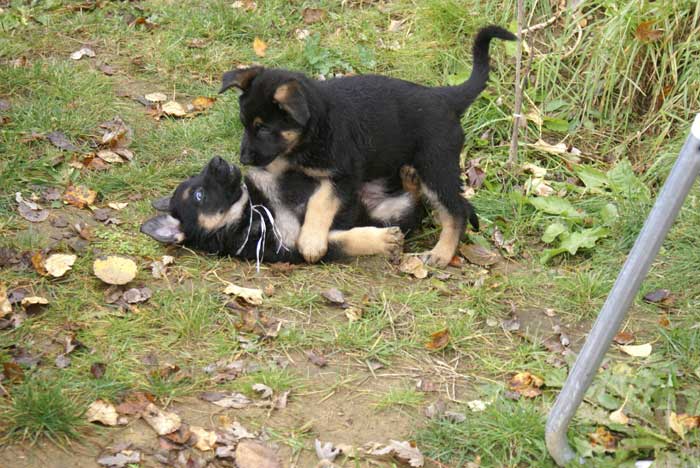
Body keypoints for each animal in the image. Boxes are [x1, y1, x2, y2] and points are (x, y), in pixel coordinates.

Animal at [140, 157, 424, 266]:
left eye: (196, 177)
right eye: (199, 195)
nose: (217, 160)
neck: (254, 210)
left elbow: (322, 193)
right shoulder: (297, 247)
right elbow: (347, 240)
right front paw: (383, 241)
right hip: (391, 212)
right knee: (413, 206)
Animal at [217, 25, 516, 266]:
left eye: (264, 129)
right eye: (245, 124)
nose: (243, 159)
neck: (316, 128)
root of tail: (445, 97)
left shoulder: (344, 175)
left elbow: (320, 201)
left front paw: (311, 241)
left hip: (436, 166)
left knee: (457, 210)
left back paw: (442, 253)